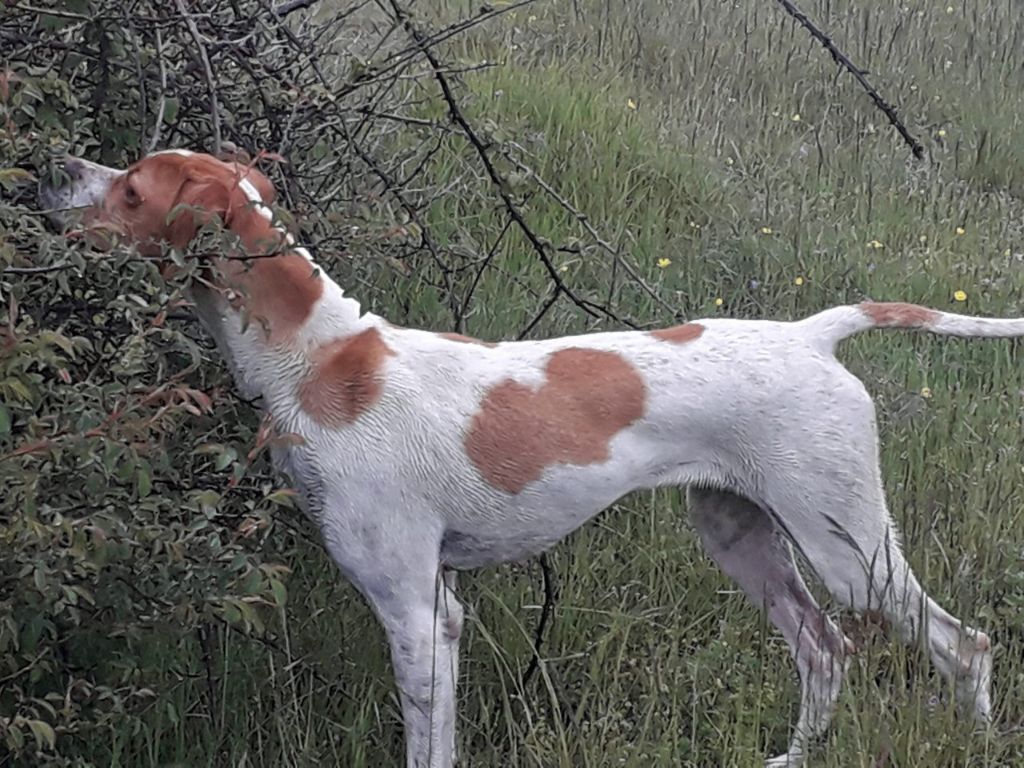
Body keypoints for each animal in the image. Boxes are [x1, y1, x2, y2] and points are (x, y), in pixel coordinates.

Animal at [37, 151, 1015, 768]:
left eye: (131, 188)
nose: (58, 170)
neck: (323, 362)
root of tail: (815, 334)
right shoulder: (443, 611)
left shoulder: (414, 613)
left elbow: (424, 750)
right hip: (744, 539)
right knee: (824, 651)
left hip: (848, 547)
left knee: (963, 646)